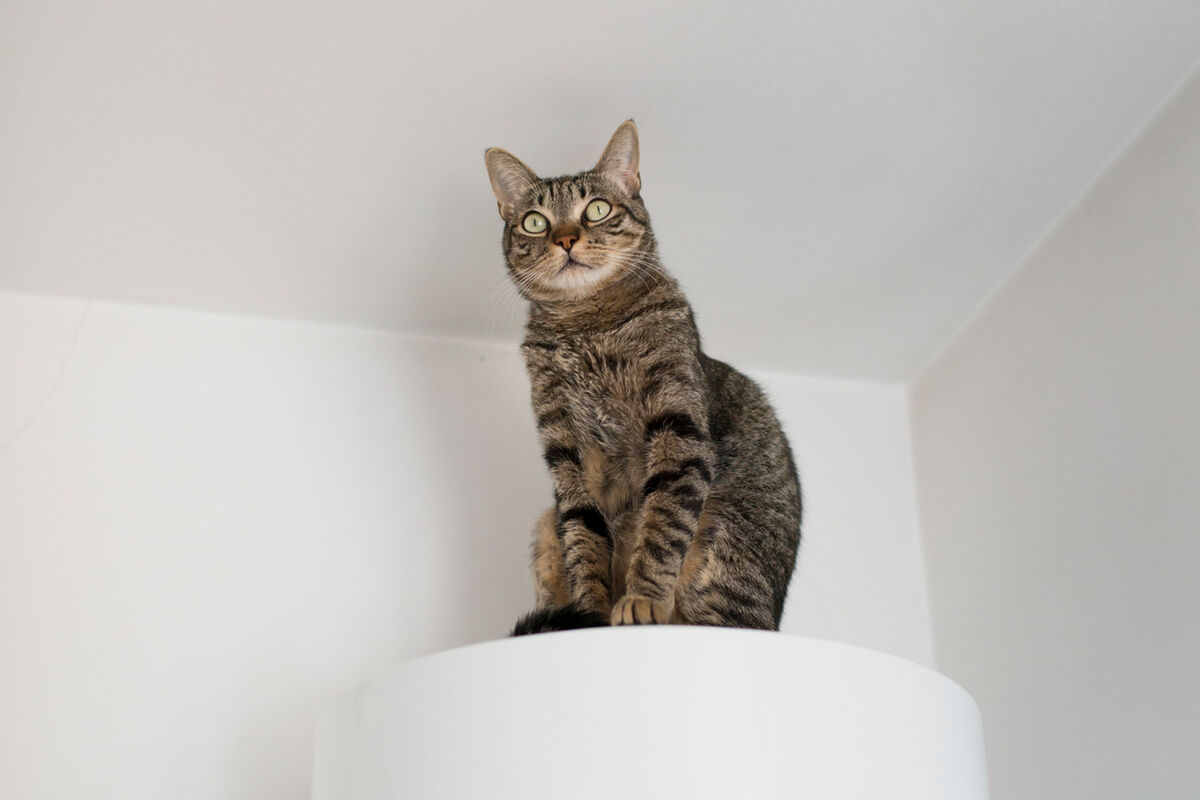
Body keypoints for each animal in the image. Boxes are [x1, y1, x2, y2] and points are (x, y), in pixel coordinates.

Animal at [482, 120, 801, 633]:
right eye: (535, 221)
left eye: (597, 209)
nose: (565, 239)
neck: (586, 326)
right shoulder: (567, 452)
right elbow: (583, 537)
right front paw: (589, 613)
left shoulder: (676, 425)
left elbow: (662, 526)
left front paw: (642, 599)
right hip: (545, 524)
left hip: (725, 535)